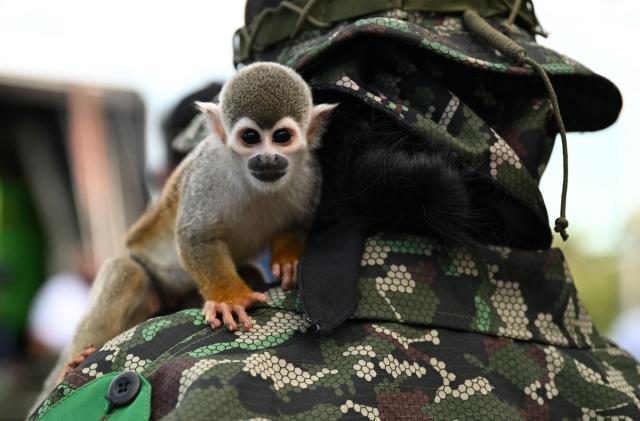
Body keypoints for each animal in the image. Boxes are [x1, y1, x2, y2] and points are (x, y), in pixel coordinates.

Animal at [36, 62, 337, 402]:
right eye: (250, 137)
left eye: (281, 137)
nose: (267, 158)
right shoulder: (207, 172)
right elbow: (195, 235)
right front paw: (229, 298)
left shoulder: (310, 174)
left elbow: (298, 222)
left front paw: (287, 259)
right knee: (128, 270)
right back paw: (74, 362)